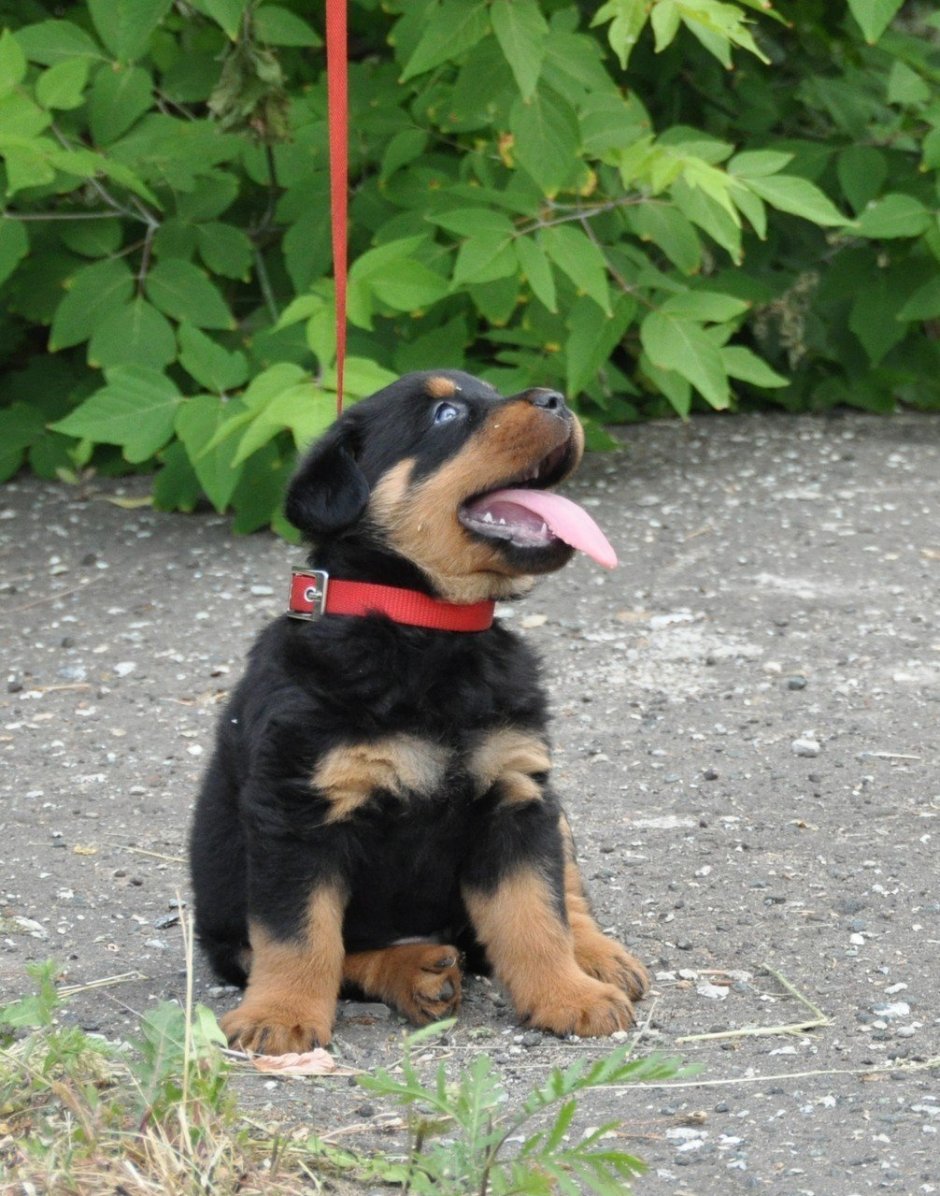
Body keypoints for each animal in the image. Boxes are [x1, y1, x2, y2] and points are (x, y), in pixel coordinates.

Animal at [187, 368, 650, 1052]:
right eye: (445, 414)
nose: (556, 399)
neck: (428, 631)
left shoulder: (514, 798)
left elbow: (535, 914)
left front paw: (568, 995)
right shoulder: (297, 813)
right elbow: (300, 935)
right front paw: (281, 1015)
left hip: (551, 808)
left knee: (566, 891)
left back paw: (594, 957)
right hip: (227, 925)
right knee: (346, 954)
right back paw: (415, 972)